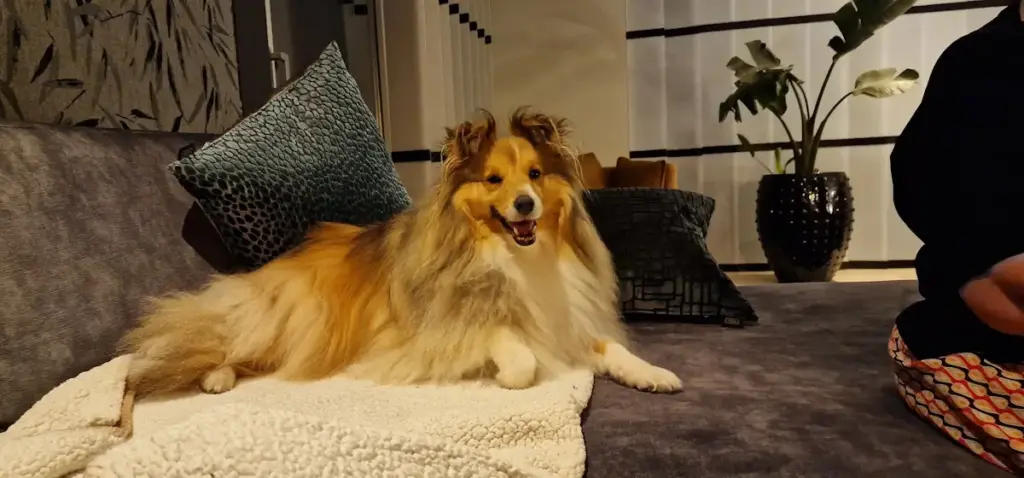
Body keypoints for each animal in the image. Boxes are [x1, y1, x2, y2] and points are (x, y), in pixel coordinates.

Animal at [121, 107, 679, 397]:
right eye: (493, 180)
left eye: (536, 174)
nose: (525, 204)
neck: (515, 256)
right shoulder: (441, 325)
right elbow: (513, 351)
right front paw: (510, 370)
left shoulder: (567, 317)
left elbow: (612, 349)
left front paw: (654, 374)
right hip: (301, 319)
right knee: (230, 345)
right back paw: (216, 374)